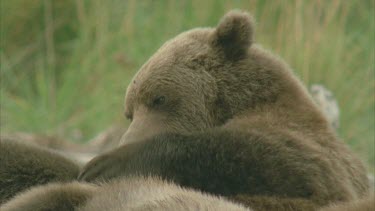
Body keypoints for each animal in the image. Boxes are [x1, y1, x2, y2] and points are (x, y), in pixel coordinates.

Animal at [79, 10, 370, 210]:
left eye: (159, 99)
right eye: (129, 112)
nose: (127, 140)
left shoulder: (309, 151)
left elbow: (284, 164)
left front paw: (106, 165)